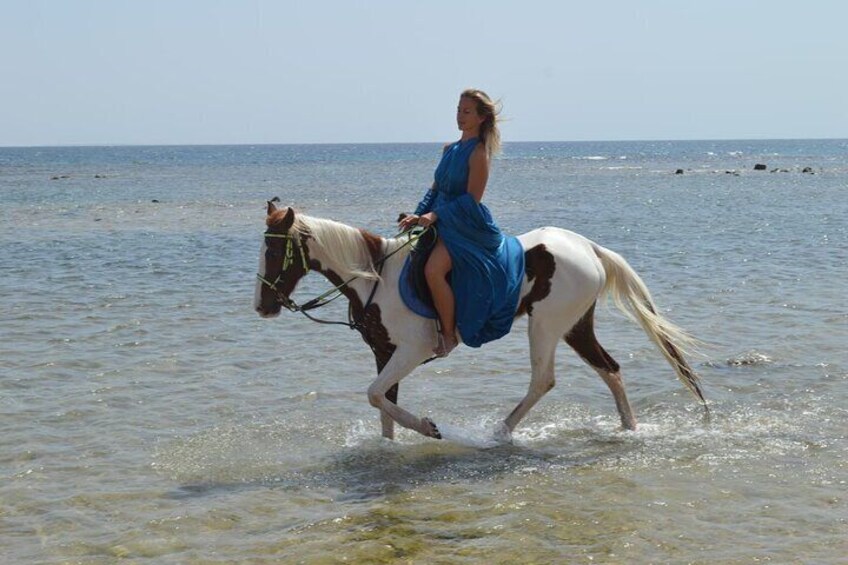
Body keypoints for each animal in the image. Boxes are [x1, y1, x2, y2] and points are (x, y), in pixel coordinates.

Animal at [255, 200, 704, 442]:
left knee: (544, 380)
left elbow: (375, 395)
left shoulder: (412, 350)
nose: (263, 306)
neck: (375, 277)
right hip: (576, 326)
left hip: (546, 325)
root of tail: (588, 247)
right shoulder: (384, 352)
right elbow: (383, 404)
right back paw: (628, 429)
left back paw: (500, 434)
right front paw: (392, 445)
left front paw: (428, 428)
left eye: (275, 251)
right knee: (609, 369)